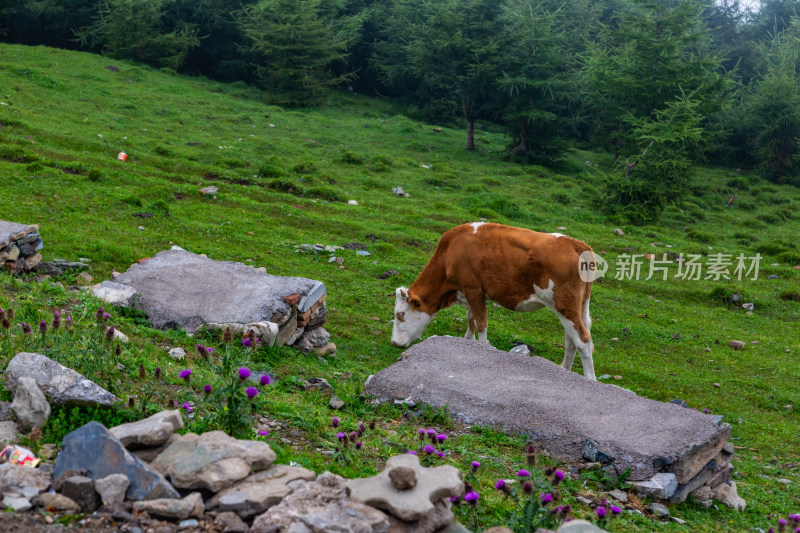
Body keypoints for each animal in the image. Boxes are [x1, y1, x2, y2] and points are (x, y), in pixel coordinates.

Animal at [390, 220, 596, 378]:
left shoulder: (473, 289)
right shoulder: (470, 293)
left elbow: (481, 323)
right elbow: (471, 318)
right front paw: (466, 341)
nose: (394, 343)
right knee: (571, 338)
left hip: (564, 304)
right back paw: (564, 370)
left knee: (583, 340)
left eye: (400, 315)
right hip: (578, 305)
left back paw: (590, 379)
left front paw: (482, 349)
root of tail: (577, 244)